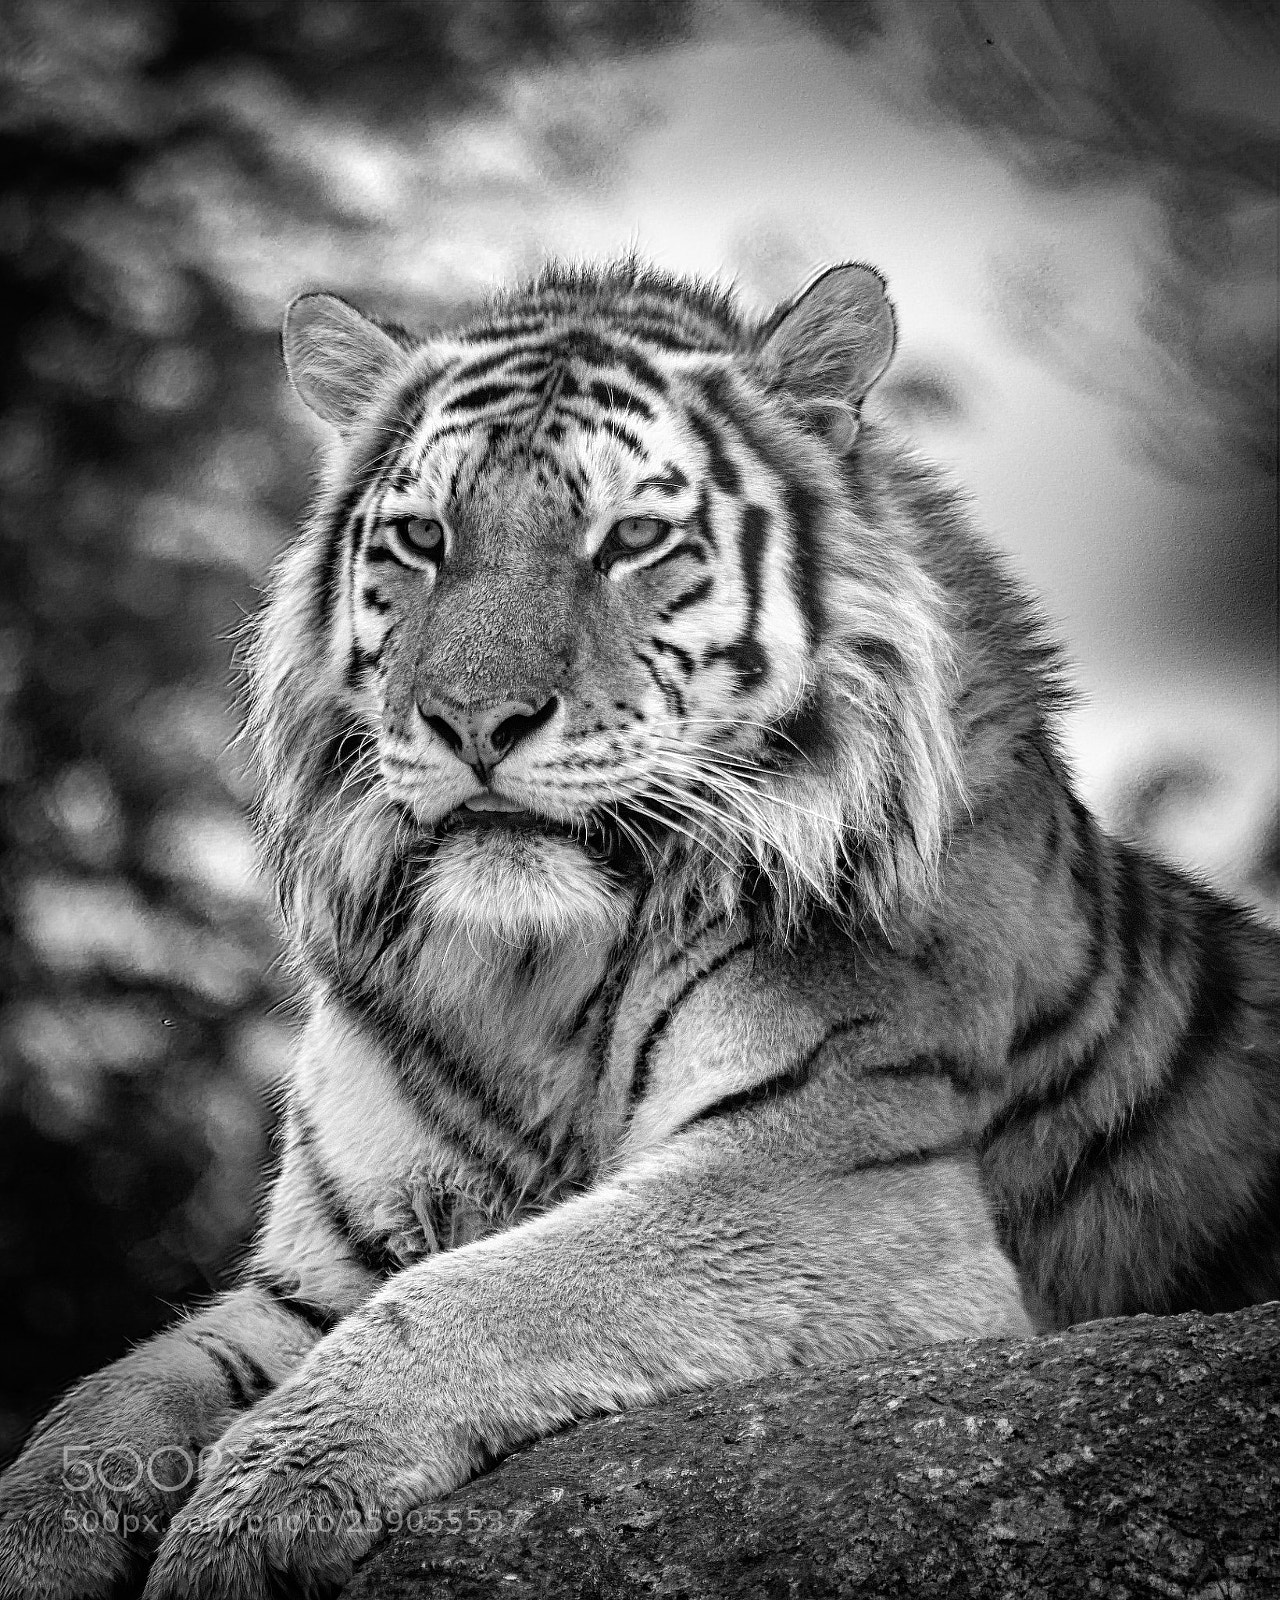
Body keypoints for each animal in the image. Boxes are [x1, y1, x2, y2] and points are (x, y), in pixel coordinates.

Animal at [1, 257, 1277, 1600]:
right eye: (422, 539)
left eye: (629, 540)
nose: (473, 721)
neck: (529, 977)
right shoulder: (317, 1272)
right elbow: (115, 1397)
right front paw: (44, 1538)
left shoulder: (816, 1186)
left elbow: (487, 1291)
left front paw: (255, 1507)